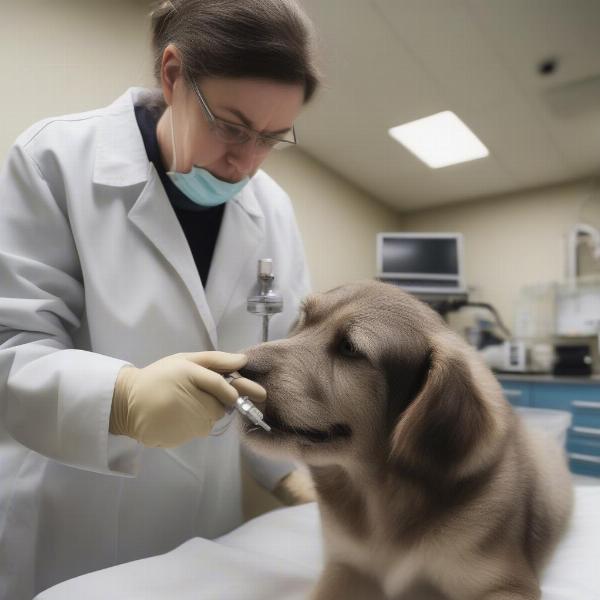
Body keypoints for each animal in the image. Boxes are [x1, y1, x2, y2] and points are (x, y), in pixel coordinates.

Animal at [239, 282, 572, 600]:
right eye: (304, 320)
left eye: (349, 348)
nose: (238, 369)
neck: (381, 496)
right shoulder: (346, 566)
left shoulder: (508, 583)